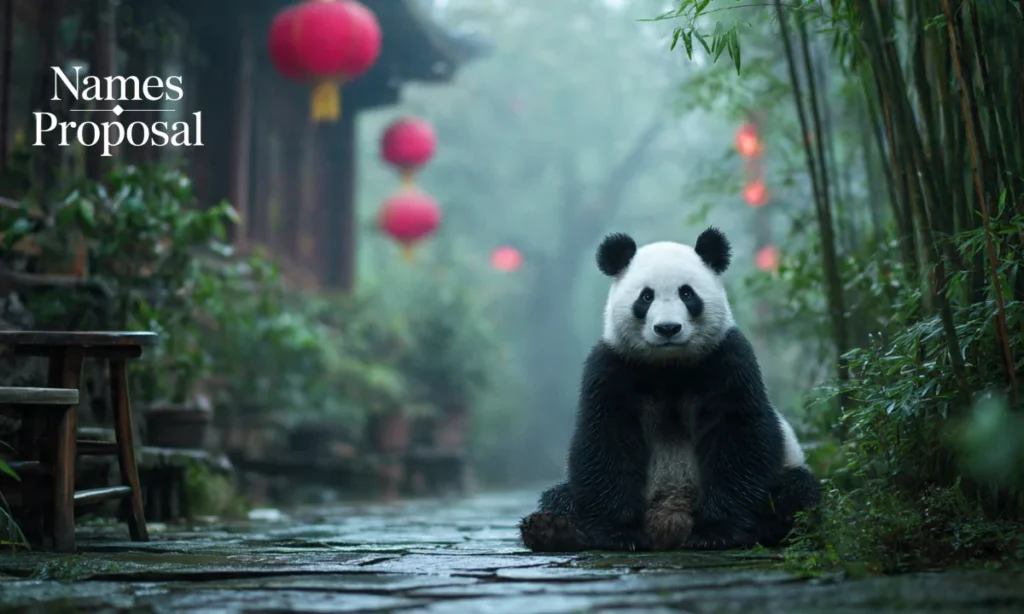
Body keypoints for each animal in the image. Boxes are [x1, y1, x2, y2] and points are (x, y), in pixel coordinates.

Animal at [519, 227, 820, 552]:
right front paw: (620, 535)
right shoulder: (612, 367)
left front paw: (715, 533)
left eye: (687, 294)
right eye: (646, 296)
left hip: (784, 471)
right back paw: (552, 530)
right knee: (559, 496)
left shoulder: (727, 361)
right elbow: (606, 441)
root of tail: (669, 521)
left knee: (798, 491)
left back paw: (782, 526)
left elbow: (739, 438)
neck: (669, 366)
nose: (667, 329)